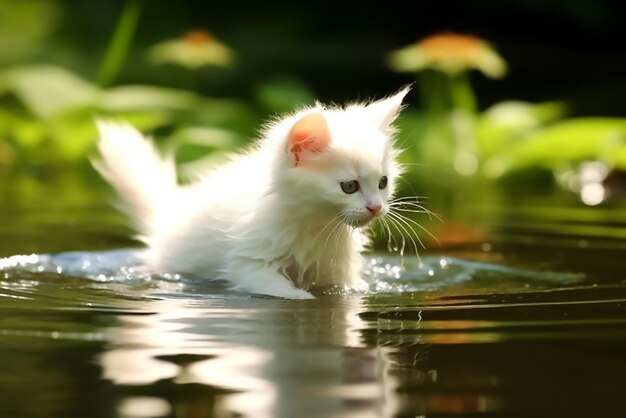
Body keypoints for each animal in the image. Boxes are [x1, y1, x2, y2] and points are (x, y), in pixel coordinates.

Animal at [94, 87, 410, 298]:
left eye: (383, 182)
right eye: (349, 186)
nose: (376, 207)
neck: (317, 226)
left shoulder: (337, 271)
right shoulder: (247, 263)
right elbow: (284, 291)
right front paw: (301, 297)